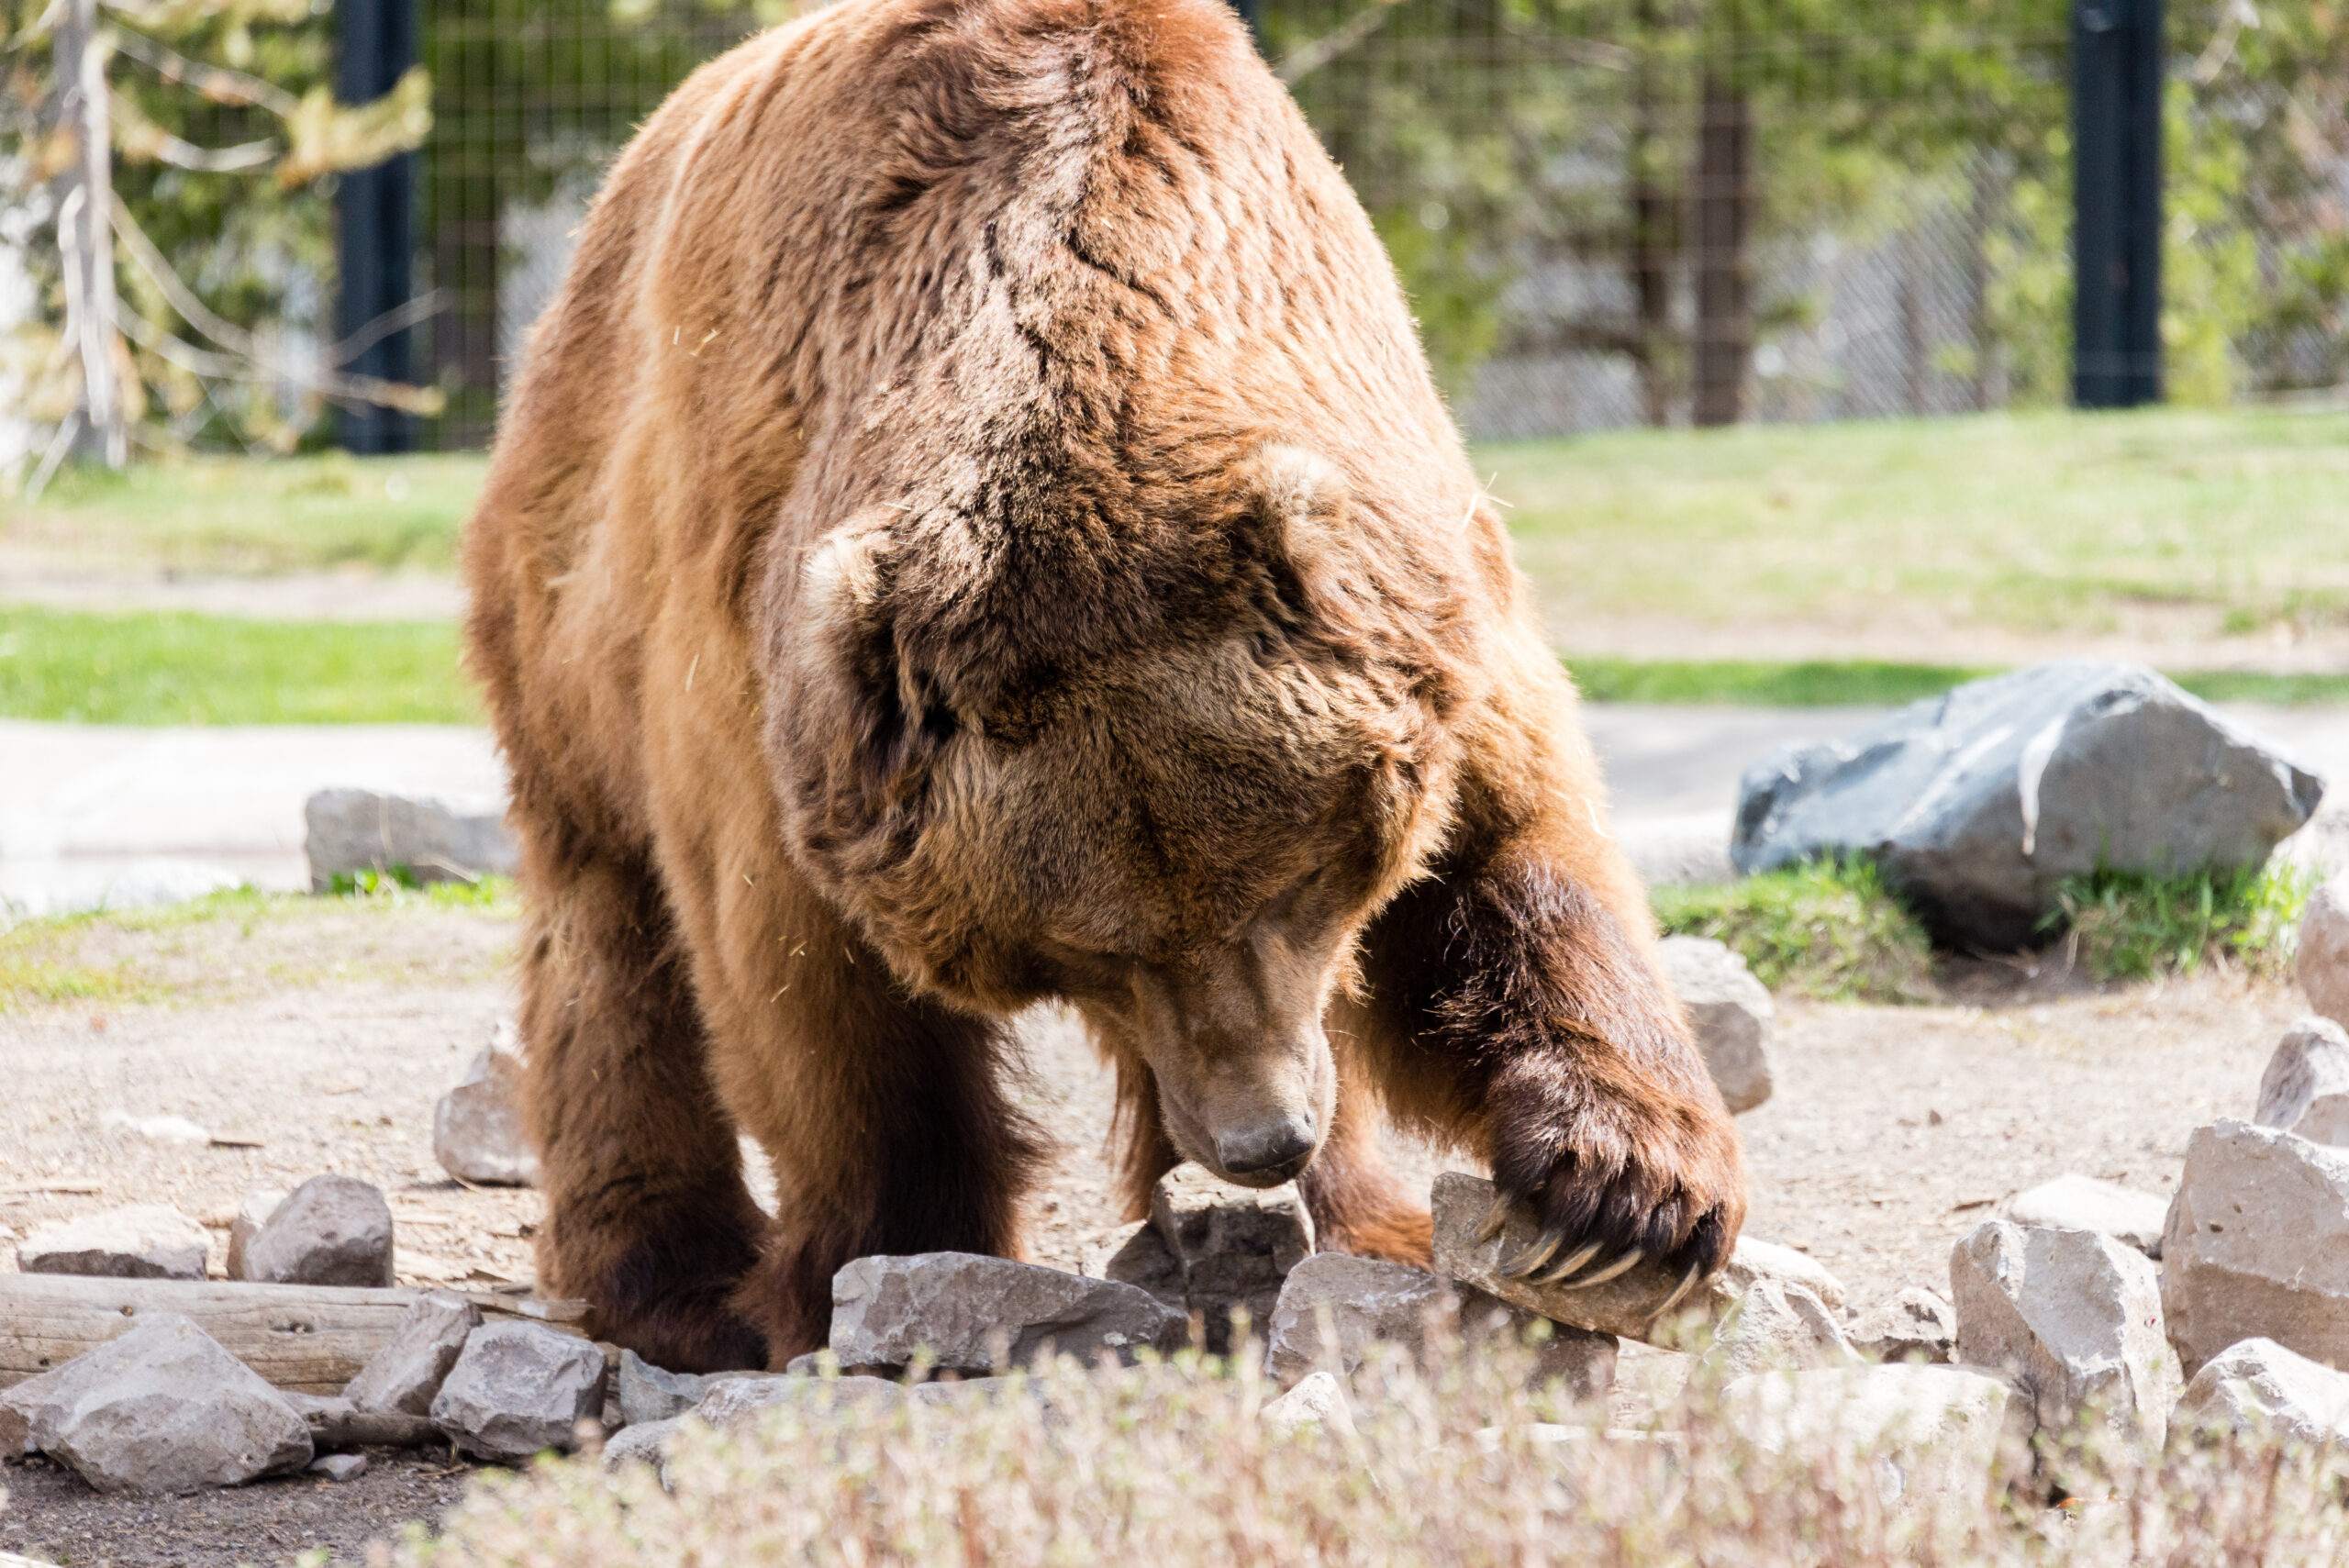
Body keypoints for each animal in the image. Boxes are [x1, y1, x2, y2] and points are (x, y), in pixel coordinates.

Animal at [462, 0, 1746, 1371]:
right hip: (569, 607)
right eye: (1092, 947)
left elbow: (1504, 847)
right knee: (612, 939)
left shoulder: (1417, 592)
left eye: (1297, 883)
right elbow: (812, 990)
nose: (1259, 1137)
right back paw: (672, 1279)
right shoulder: (771, 675)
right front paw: (883, 1259)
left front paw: (1620, 1198)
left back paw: (1369, 1219)